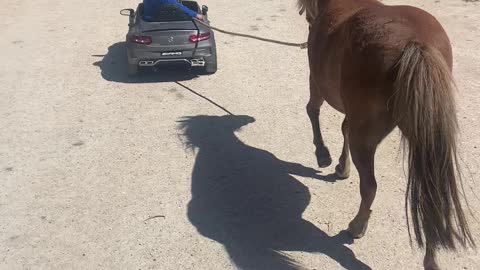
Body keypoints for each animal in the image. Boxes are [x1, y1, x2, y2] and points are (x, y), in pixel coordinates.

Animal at [298, 0, 474, 268]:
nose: (308, 19)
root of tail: (416, 43)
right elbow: (343, 128)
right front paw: (341, 166)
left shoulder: (317, 82)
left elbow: (313, 110)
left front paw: (323, 155)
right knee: (429, 200)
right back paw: (430, 259)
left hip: (365, 139)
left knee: (370, 186)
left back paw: (357, 226)